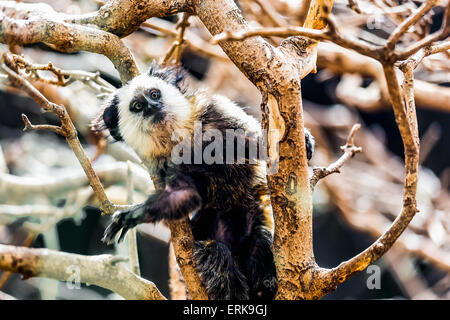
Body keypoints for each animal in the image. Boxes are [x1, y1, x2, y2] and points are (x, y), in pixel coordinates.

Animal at [92, 62, 314, 300]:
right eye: (138, 106)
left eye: (154, 94)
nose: (153, 106)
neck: (184, 138)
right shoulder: (168, 165)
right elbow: (185, 194)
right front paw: (135, 214)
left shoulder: (218, 113)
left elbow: (255, 142)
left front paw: (304, 140)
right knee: (215, 253)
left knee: (260, 239)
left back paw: (265, 286)